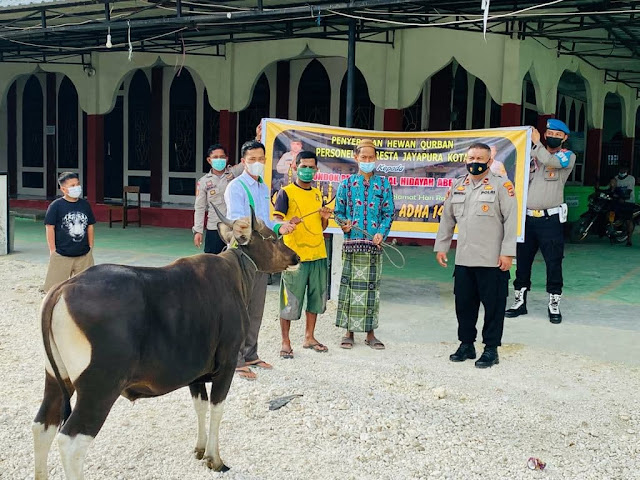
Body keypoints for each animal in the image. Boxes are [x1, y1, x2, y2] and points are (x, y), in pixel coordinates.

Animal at [35, 207, 302, 480]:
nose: (295, 257)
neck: (235, 274)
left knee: (43, 425)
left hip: (56, 379)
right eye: (272, 237)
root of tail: (61, 289)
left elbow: (200, 406)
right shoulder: (227, 365)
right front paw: (215, 459)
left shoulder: (195, 375)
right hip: (98, 389)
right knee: (70, 441)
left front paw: (200, 449)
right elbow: (217, 409)